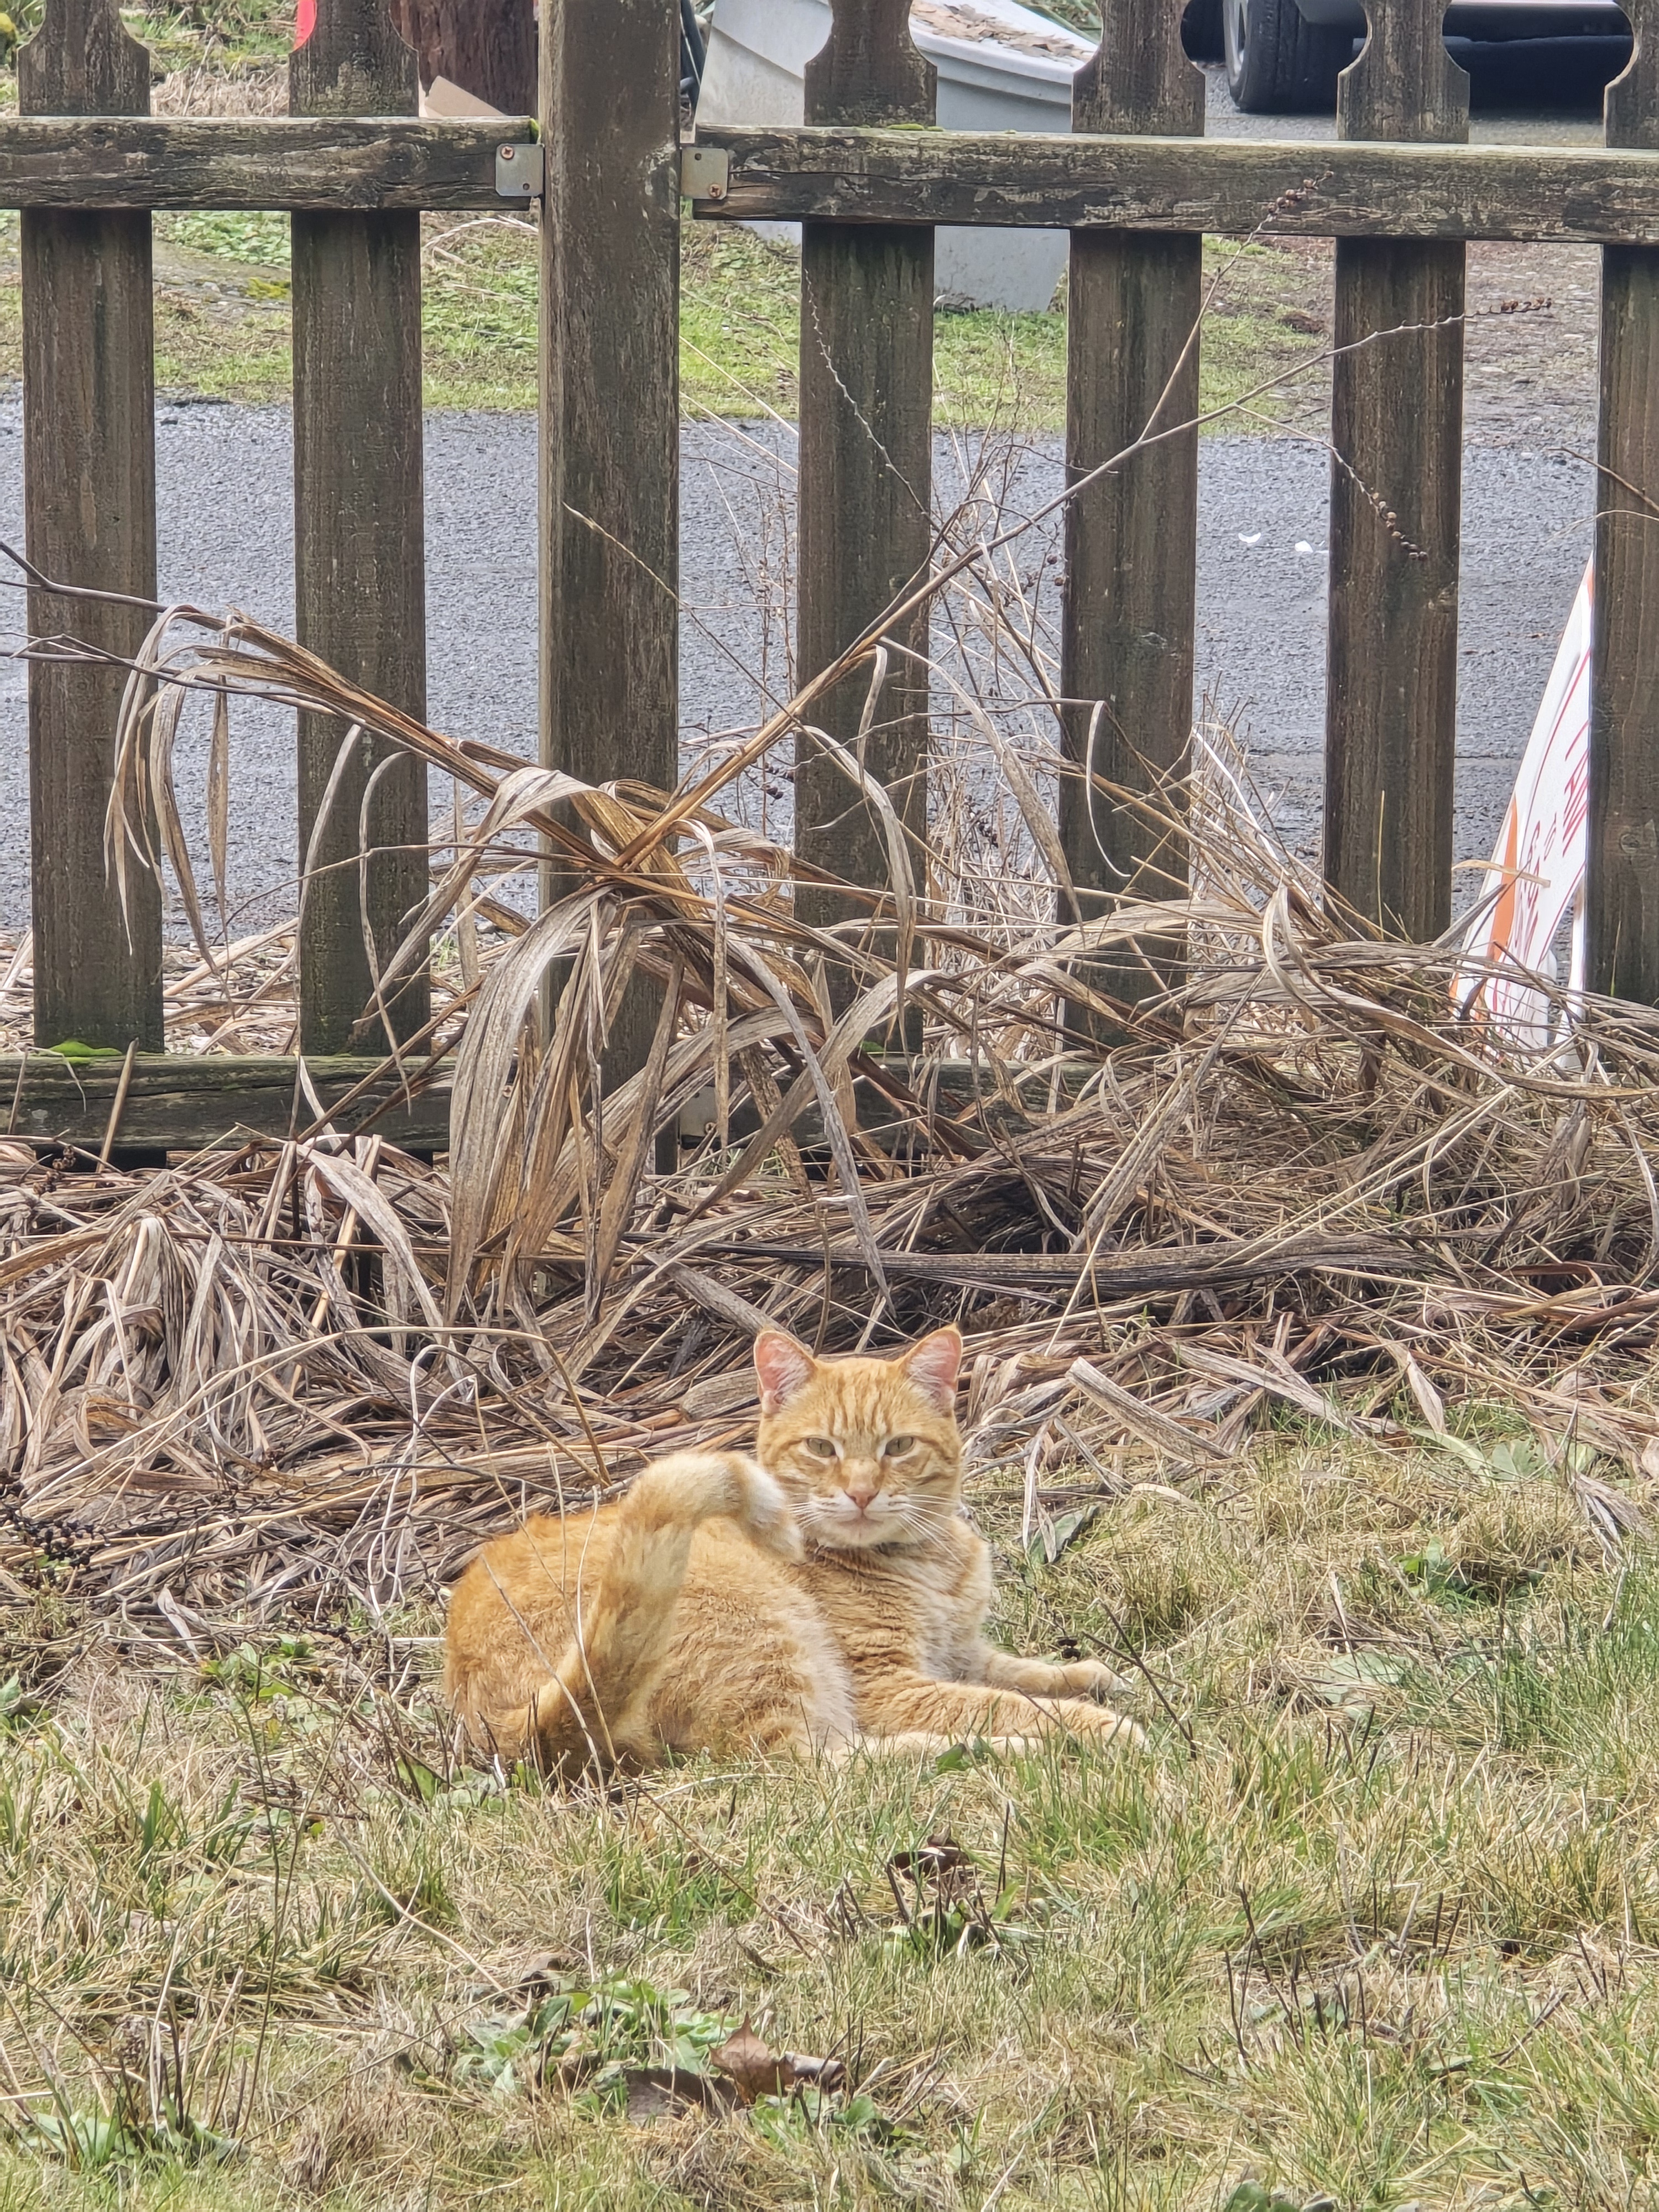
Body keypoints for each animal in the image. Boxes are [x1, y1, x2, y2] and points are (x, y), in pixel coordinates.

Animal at [442, 1318, 1141, 1770]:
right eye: (821, 1448)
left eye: (898, 1447)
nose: (861, 1493)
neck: (930, 1563)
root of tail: (490, 1718)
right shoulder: (887, 1683)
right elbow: (1004, 1704)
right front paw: (1096, 1724)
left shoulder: (960, 1654)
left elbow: (1023, 1674)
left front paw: (1092, 1677)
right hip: (770, 1633)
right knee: (815, 1764)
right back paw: (1018, 1752)